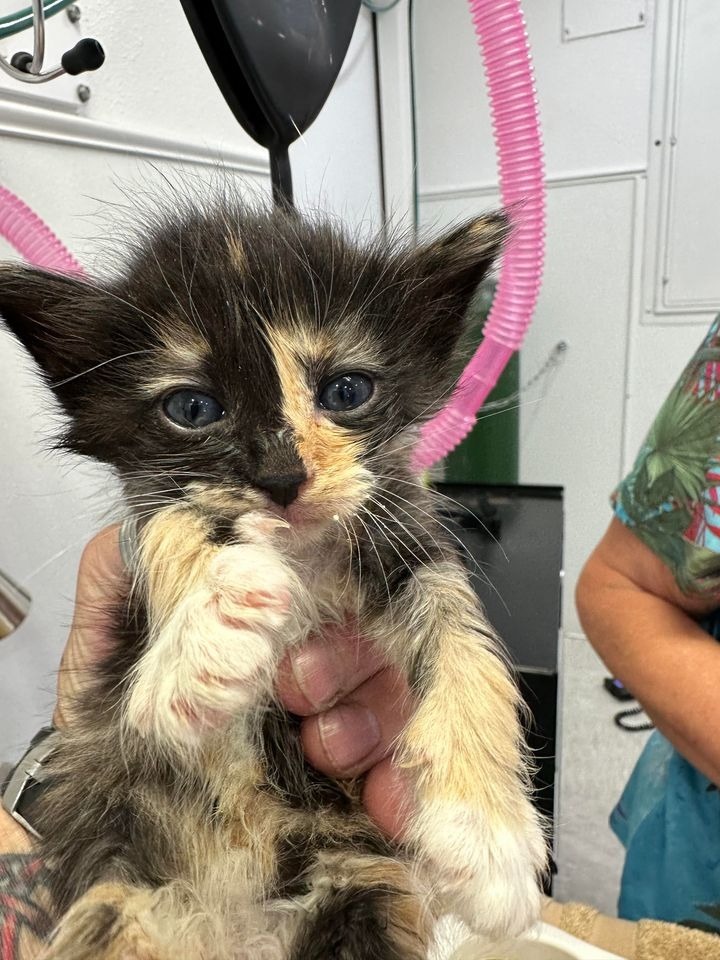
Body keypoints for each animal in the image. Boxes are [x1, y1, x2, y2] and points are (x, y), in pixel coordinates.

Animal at [0, 197, 544, 960]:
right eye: (193, 408)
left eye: (346, 390)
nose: (283, 478)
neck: (303, 557)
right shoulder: (136, 554)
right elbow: (173, 522)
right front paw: (210, 631)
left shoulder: (403, 531)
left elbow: (458, 627)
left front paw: (489, 838)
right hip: (115, 873)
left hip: (359, 886)